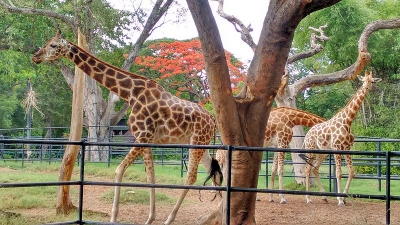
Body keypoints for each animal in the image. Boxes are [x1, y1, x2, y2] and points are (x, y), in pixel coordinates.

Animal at [32, 30, 222, 225]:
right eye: (47, 42)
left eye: (53, 45)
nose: (35, 56)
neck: (130, 93)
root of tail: (213, 120)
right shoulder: (146, 138)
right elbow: (150, 176)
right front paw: (150, 219)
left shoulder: (143, 135)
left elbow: (118, 170)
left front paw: (114, 217)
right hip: (202, 144)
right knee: (214, 172)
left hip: (196, 141)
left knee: (192, 176)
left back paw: (170, 219)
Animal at [304, 71, 382, 206]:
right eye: (363, 80)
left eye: (372, 81)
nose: (366, 88)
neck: (348, 121)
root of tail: (307, 135)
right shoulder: (337, 147)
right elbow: (338, 173)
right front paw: (339, 199)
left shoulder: (347, 148)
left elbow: (351, 172)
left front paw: (344, 197)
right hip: (310, 149)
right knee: (308, 169)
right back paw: (308, 198)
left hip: (322, 152)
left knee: (315, 168)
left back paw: (324, 197)